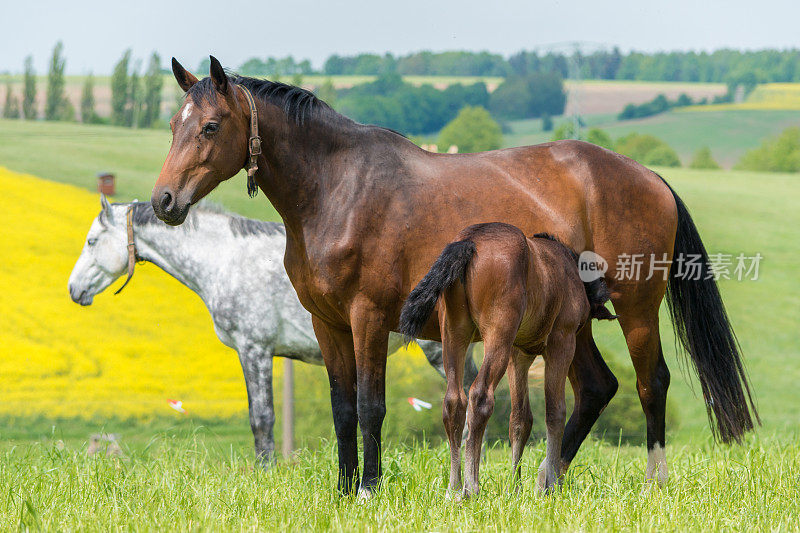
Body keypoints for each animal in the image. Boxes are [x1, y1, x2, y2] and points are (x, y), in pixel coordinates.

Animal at [67, 197, 476, 464]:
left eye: (91, 241)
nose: (74, 290)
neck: (225, 260)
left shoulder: (255, 350)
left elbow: (261, 418)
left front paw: (266, 472)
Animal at [398, 221, 612, 494]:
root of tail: (469, 241)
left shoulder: (517, 354)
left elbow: (520, 419)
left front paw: (515, 486)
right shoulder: (561, 342)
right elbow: (555, 412)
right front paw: (550, 486)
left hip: (454, 333)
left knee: (453, 401)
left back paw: (453, 488)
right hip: (497, 334)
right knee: (480, 395)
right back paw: (471, 487)